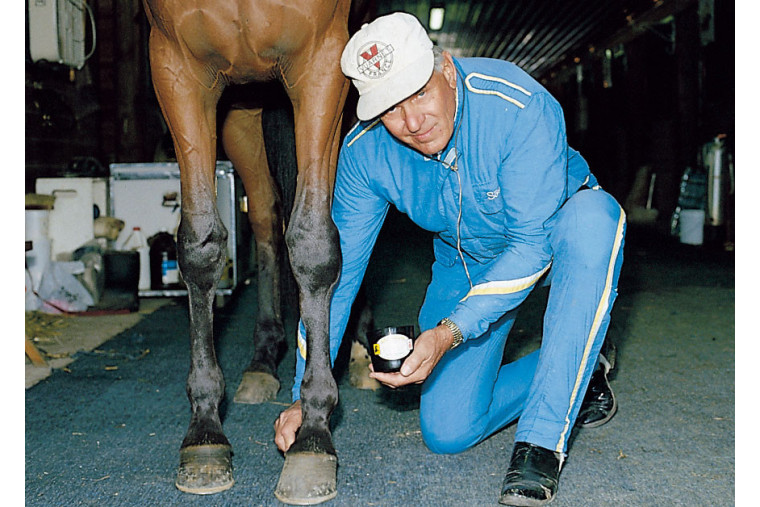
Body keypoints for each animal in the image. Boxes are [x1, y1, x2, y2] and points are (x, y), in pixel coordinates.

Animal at [141, 0, 355, 503]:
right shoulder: (177, 68)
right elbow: (199, 244)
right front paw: (204, 430)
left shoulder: (323, 61)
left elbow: (315, 244)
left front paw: (313, 432)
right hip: (243, 115)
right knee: (265, 219)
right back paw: (263, 357)